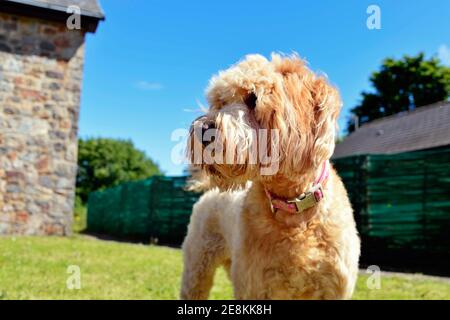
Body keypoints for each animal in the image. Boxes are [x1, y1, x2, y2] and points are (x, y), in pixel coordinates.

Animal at [181, 53, 360, 300]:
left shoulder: (333, 289)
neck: (293, 207)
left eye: (253, 99)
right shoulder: (255, 288)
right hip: (198, 266)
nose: (202, 129)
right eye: (220, 103)